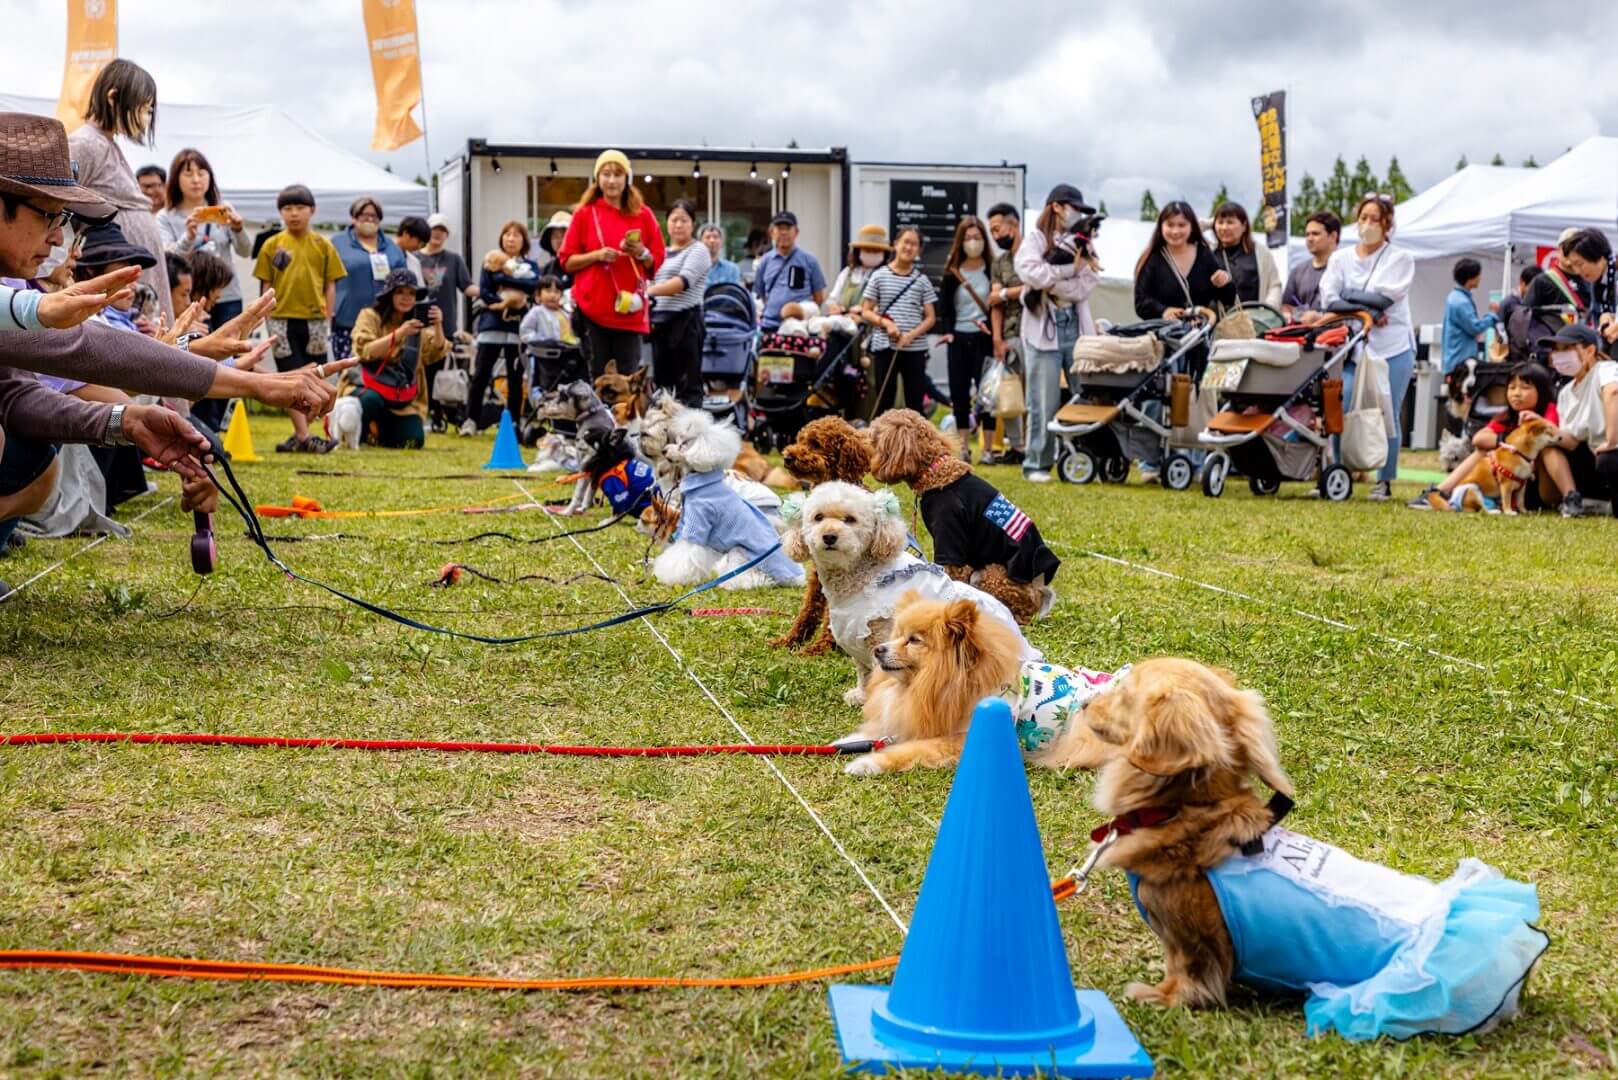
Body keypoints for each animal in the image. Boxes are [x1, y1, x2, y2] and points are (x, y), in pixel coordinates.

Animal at [779, 482, 1035, 709]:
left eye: (850, 519)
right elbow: (863, 673)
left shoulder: (881, 637)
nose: (829, 536)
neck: (863, 574)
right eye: (818, 517)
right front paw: (861, 696)